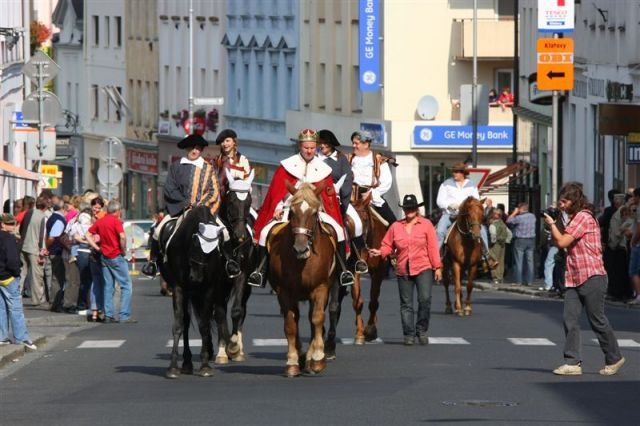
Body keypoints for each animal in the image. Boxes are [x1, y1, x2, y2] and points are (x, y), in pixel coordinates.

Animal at [266, 180, 338, 376]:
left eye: (314, 213)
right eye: (291, 212)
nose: (300, 248)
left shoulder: (321, 288)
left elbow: (317, 319)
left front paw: (318, 358)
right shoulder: (284, 292)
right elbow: (290, 324)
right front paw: (292, 362)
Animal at [348, 191, 388, 344]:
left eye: (365, 218)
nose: (358, 243)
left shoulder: (378, 272)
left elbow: (374, 301)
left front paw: (370, 330)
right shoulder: (354, 271)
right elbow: (358, 301)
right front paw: (360, 333)